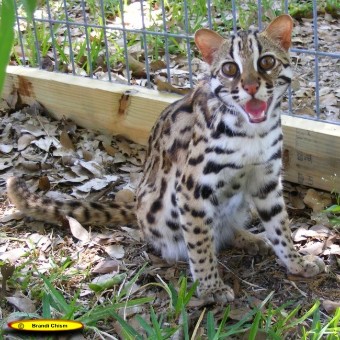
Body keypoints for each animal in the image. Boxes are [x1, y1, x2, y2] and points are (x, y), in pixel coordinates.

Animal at [5, 15, 324, 302]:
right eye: (230, 68)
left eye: (266, 62)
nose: (250, 87)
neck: (251, 133)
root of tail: (136, 208)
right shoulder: (191, 189)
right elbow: (199, 242)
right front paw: (210, 286)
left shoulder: (266, 179)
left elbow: (281, 226)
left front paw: (297, 261)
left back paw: (251, 238)